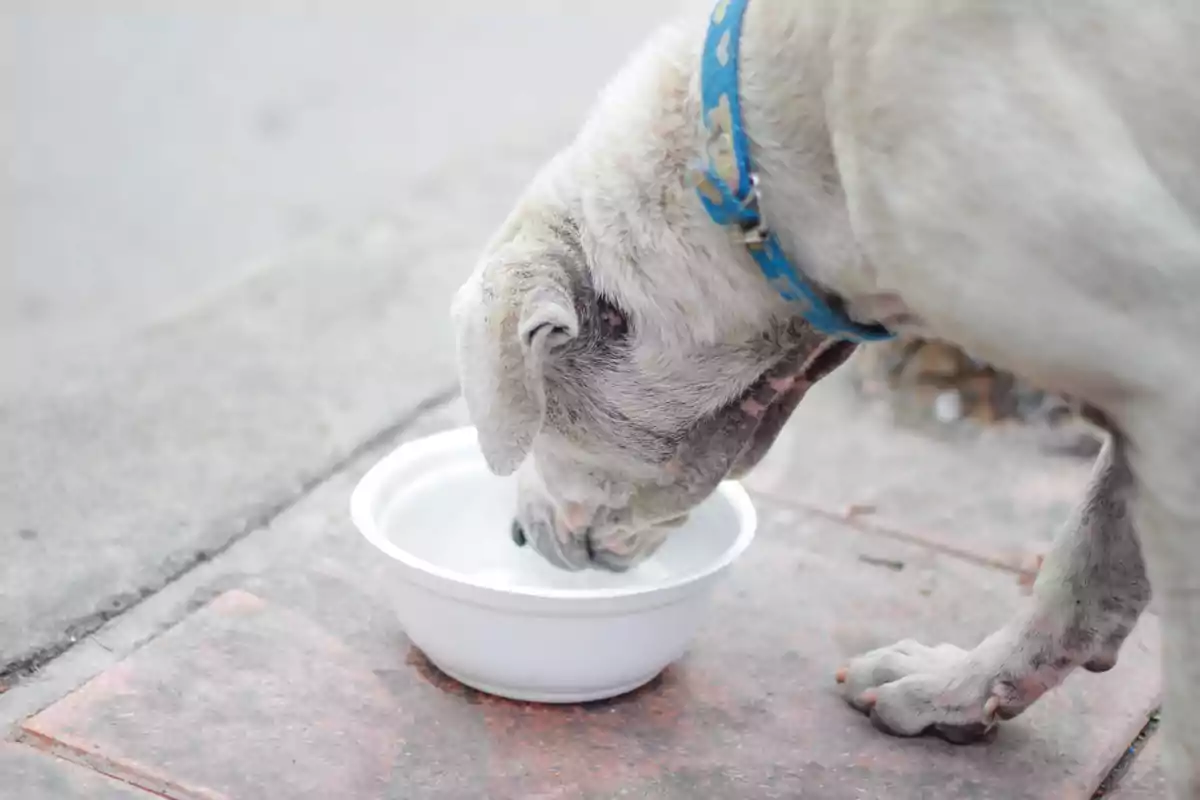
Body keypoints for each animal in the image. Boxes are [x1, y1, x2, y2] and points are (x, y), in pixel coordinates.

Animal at [451, 0, 1200, 796]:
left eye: (541, 425)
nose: (518, 535)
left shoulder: (1170, 388)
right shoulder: (1145, 406)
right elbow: (1084, 572)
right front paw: (955, 689)